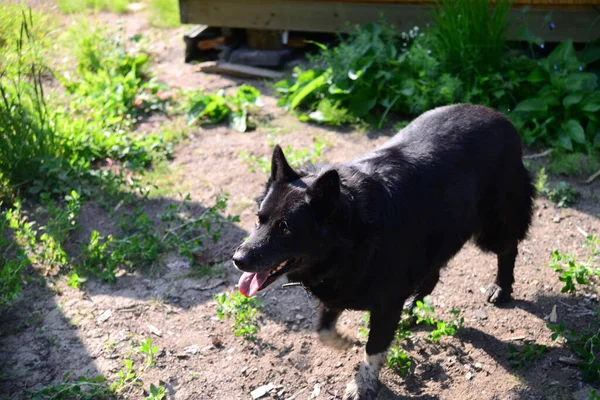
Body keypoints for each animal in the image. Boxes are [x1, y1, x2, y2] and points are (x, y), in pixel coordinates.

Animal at [231, 104, 536, 398]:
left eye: (285, 229)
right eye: (259, 218)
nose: (237, 259)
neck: (353, 234)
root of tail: (502, 118)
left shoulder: (386, 302)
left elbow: (374, 347)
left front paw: (363, 385)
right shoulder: (338, 287)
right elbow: (323, 329)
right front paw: (344, 341)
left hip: (493, 227)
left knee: (508, 249)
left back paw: (501, 288)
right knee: (433, 274)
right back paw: (414, 309)